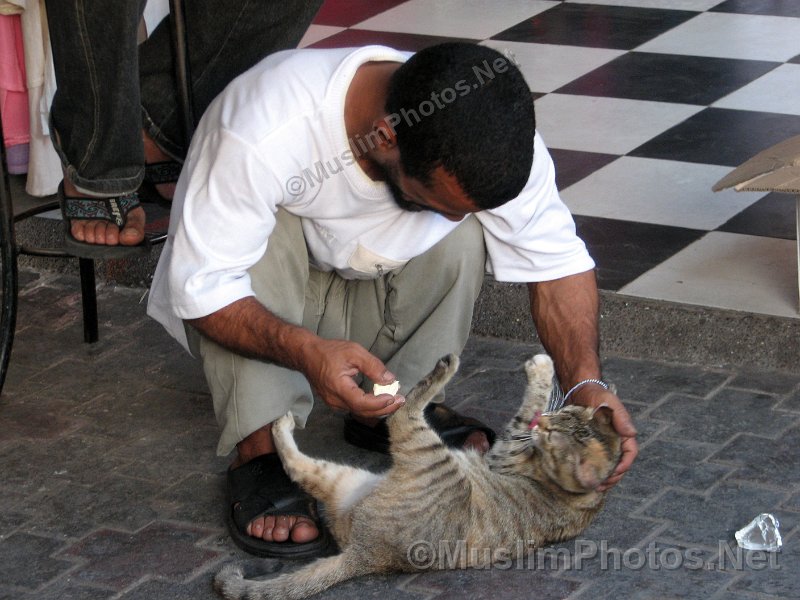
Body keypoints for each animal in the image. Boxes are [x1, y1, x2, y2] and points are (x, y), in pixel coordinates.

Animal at [216, 354, 620, 596]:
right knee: (303, 468)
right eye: (564, 413)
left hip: (425, 453)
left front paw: (541, 370)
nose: (543, 424)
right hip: (347, 480)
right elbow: (529, 408)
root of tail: (366, 556)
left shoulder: (505, 451)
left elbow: (526, 408)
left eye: (554, 434)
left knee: (400, 414)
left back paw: (442, 369)